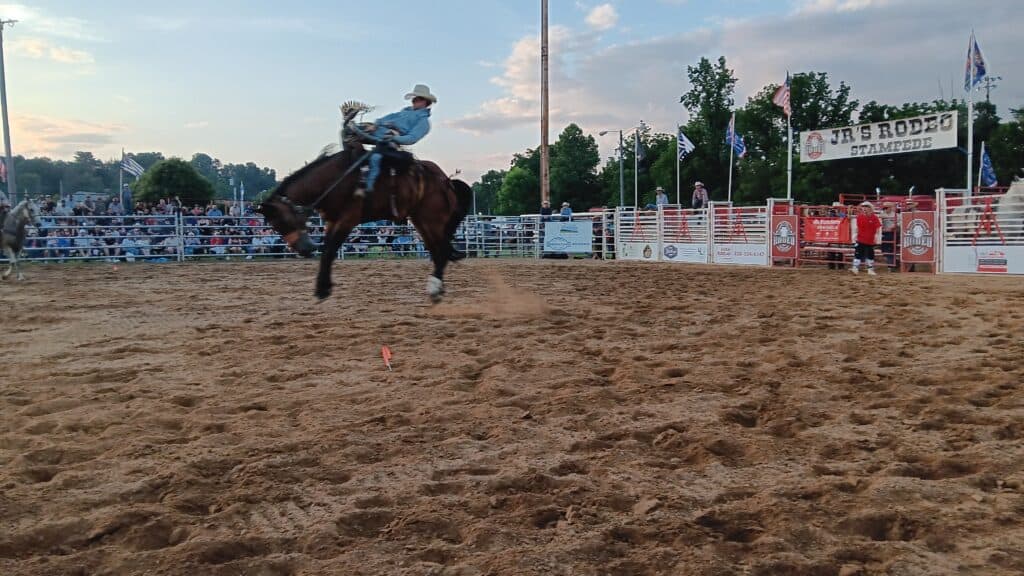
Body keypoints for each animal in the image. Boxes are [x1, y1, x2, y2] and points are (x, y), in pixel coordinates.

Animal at [257, 103, 472, 302]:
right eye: (275, 226)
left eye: (282, 221)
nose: (304, 250)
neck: (334, 179)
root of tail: (447, 182)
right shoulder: (331, 221)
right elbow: (327, 250)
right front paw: (323, 286)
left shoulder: (348, 219)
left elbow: (330, 251)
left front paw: (322, 289)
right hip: (421, 221)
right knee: (437, 251)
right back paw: (437, 288)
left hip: (432, 220)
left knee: (441, 252)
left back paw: (435, 289)